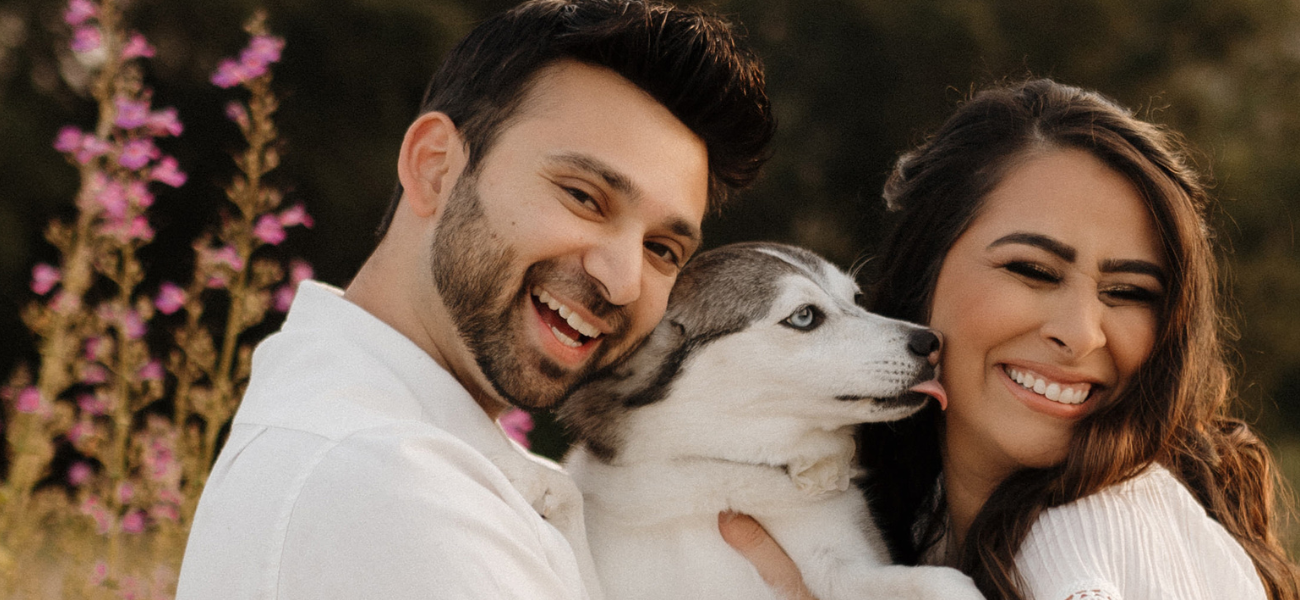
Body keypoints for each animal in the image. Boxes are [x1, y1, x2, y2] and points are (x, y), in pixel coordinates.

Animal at [553, 241, 977, 597]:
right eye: (804, 316)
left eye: (857, 299)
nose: (932, 342)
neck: (725, 469)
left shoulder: (839, 565)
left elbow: (939, 580)